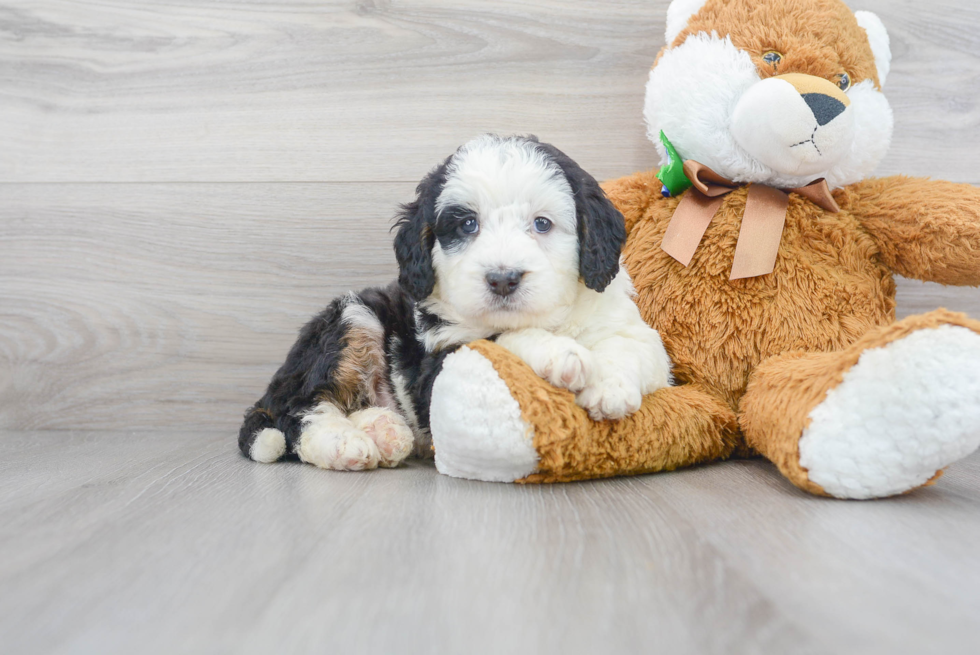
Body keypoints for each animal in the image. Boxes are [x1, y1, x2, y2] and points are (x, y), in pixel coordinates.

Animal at [240, 135, 668, 472]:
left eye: (542, 224)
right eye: (467, 225)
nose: (503, 278)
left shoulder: (629, 328)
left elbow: (631, 347)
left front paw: (609, 387)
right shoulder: (438, 360)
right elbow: (498, 339)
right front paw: (560, 354)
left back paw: (385, 431)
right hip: (351, 318)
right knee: (300, 411)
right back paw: (344, 444)